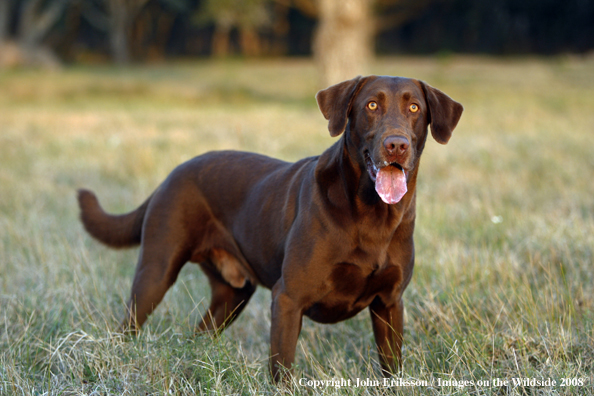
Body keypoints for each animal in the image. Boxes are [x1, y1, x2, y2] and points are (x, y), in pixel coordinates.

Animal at [76, 74, 460, 380]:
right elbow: (282, 369)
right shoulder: (288, 298)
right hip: (156, 272)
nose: (396, 144)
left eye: (415, 109)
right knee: (128, 326)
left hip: (232, 295)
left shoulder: (390, 304)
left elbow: (391, 367)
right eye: (371, 105)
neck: (372, 215)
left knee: (199, 334)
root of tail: (172, 173)